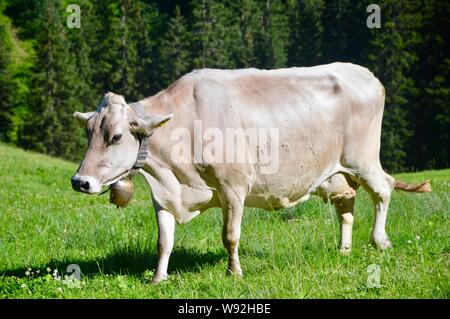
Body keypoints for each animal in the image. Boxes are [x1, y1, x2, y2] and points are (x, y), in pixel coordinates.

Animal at [70, 63, 428, 284]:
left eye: (116, 136)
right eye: (88, 132)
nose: (80, 181)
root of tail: (365, 73)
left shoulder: (233, 186)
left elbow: (230, 235)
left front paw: (234, 272)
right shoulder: (165, 194)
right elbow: (164, 241)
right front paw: (159, 278)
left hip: (362, 159)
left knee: (383, 188)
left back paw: (379, 241)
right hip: (337, 173)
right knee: (347, 204)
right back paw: (344, 249)